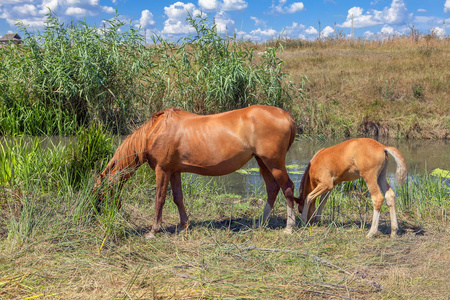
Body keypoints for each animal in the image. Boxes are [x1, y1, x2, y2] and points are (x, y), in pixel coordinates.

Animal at [94, 105, 298, 239]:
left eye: (98, 191)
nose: (95, 214)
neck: (155, 132)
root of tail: (286, 115)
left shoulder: (162, 170)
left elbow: (159, 199)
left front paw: (153, 230)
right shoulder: (174, 171)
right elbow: (178, 198)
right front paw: (184, 225)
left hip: (274, 163)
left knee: (287, 187)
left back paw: (289, 227)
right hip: (262, 161)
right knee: (272, 188)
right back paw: (261, 222)